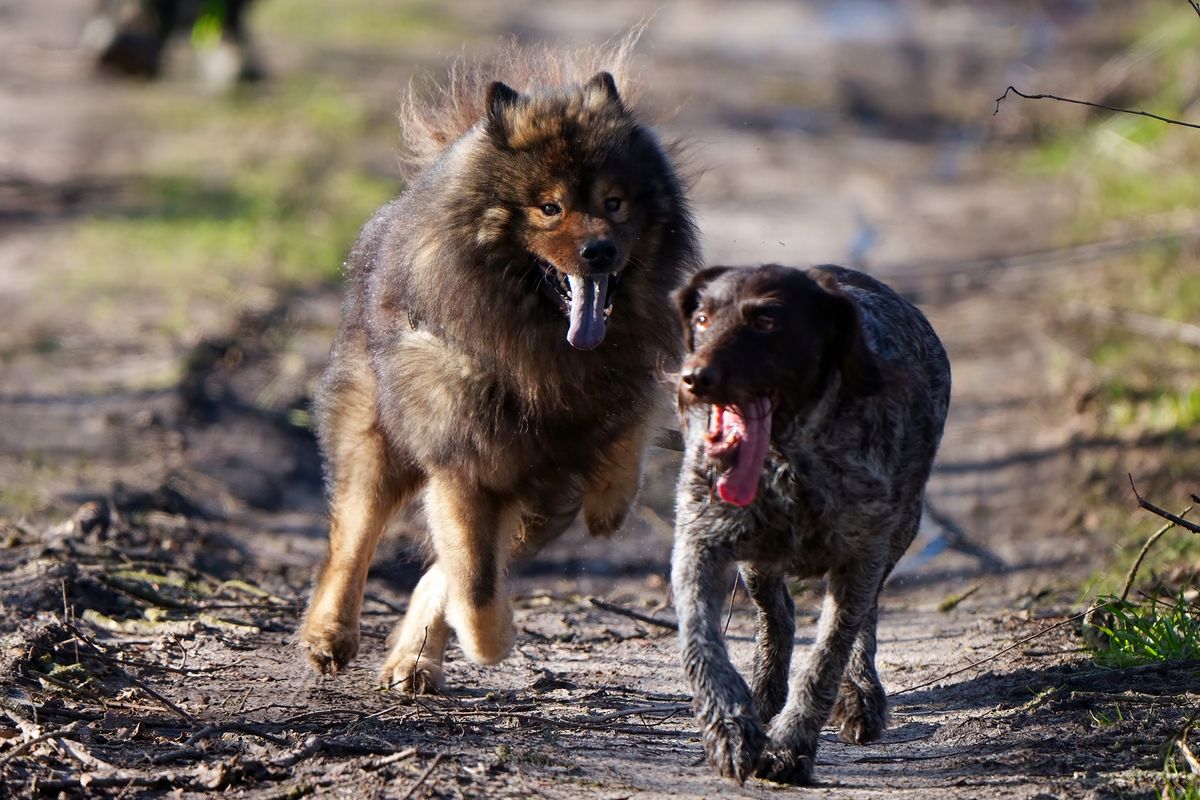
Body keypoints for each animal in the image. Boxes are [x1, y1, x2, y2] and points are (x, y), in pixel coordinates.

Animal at [672, 262, 950, 782]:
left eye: (766, 322)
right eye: (702, 319)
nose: (694, 378)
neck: (787, 457)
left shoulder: (861, 559)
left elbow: (826, 657)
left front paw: (789, 747)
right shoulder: (701, 541)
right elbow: (701, 641)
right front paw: (729, 727)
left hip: (898, 533)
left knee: (862, 622)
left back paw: (859, 695)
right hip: (758, 557)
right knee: (775, 612)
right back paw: (763, 691)